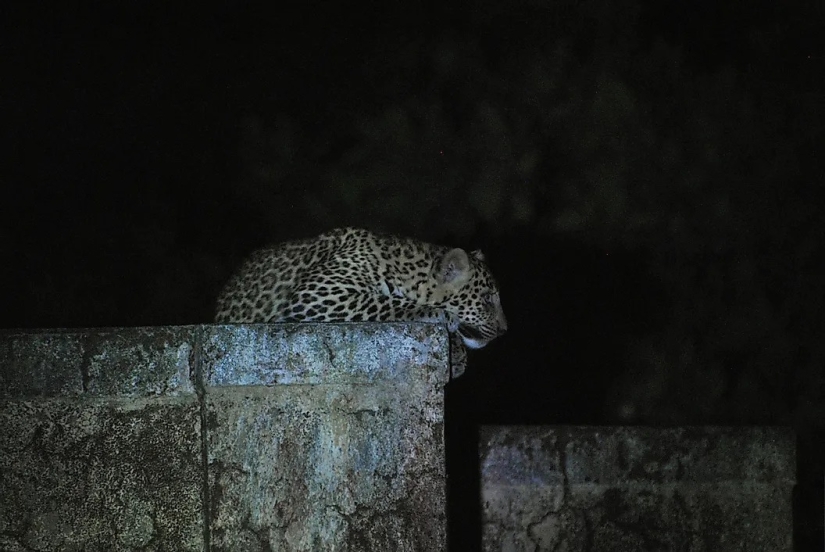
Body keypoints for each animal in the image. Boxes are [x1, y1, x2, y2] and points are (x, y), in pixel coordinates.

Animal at [214, 227, 507, 377]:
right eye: (486, 299)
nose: (505, 330)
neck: (406, 270)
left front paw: (456, 354)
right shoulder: (320, 294)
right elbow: (388, 302)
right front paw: (441, 317)